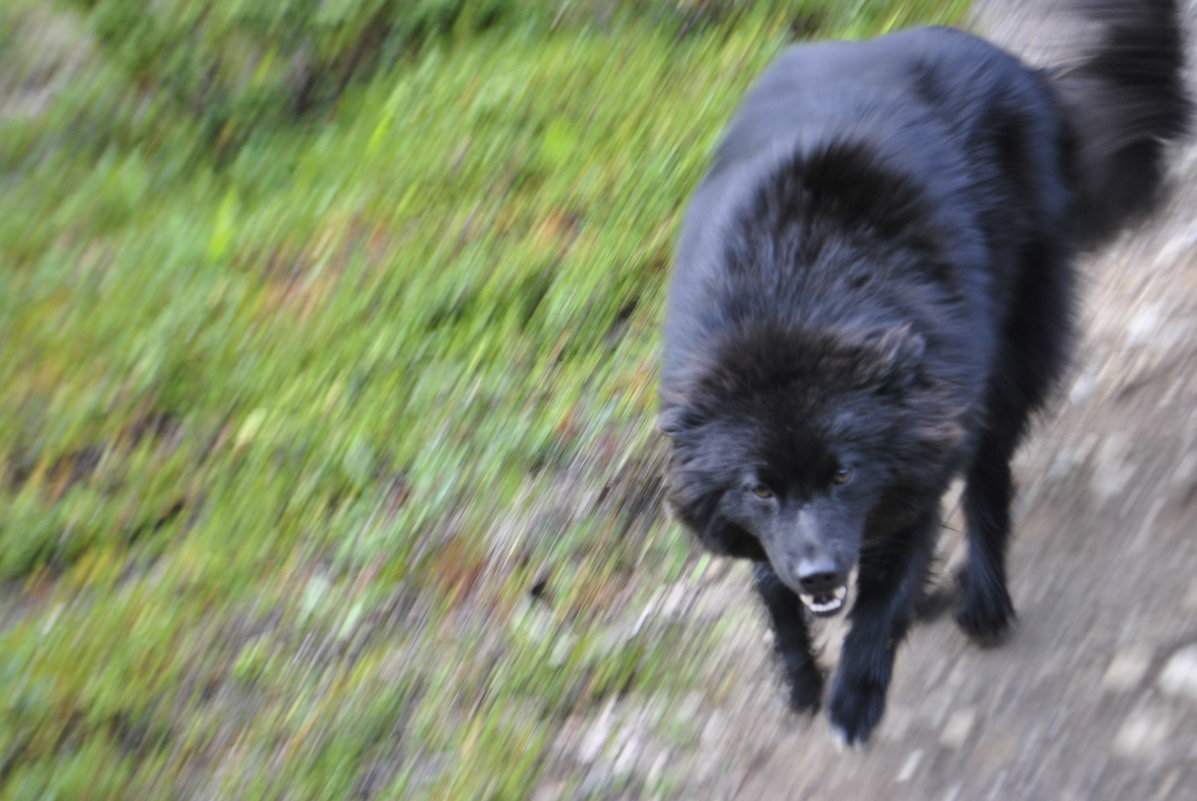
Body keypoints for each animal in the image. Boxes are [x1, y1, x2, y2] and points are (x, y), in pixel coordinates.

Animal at [665, 3, 1187, 747]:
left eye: (844, 474)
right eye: (759, 488)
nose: (819, 574)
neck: (786, 298)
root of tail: (1021, 69)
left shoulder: (919, 452)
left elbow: (886, 594)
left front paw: (855, 696)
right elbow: (770, 583)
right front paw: (800, 677)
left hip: (1007, 359)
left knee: (989, 482)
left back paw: (985, 601)